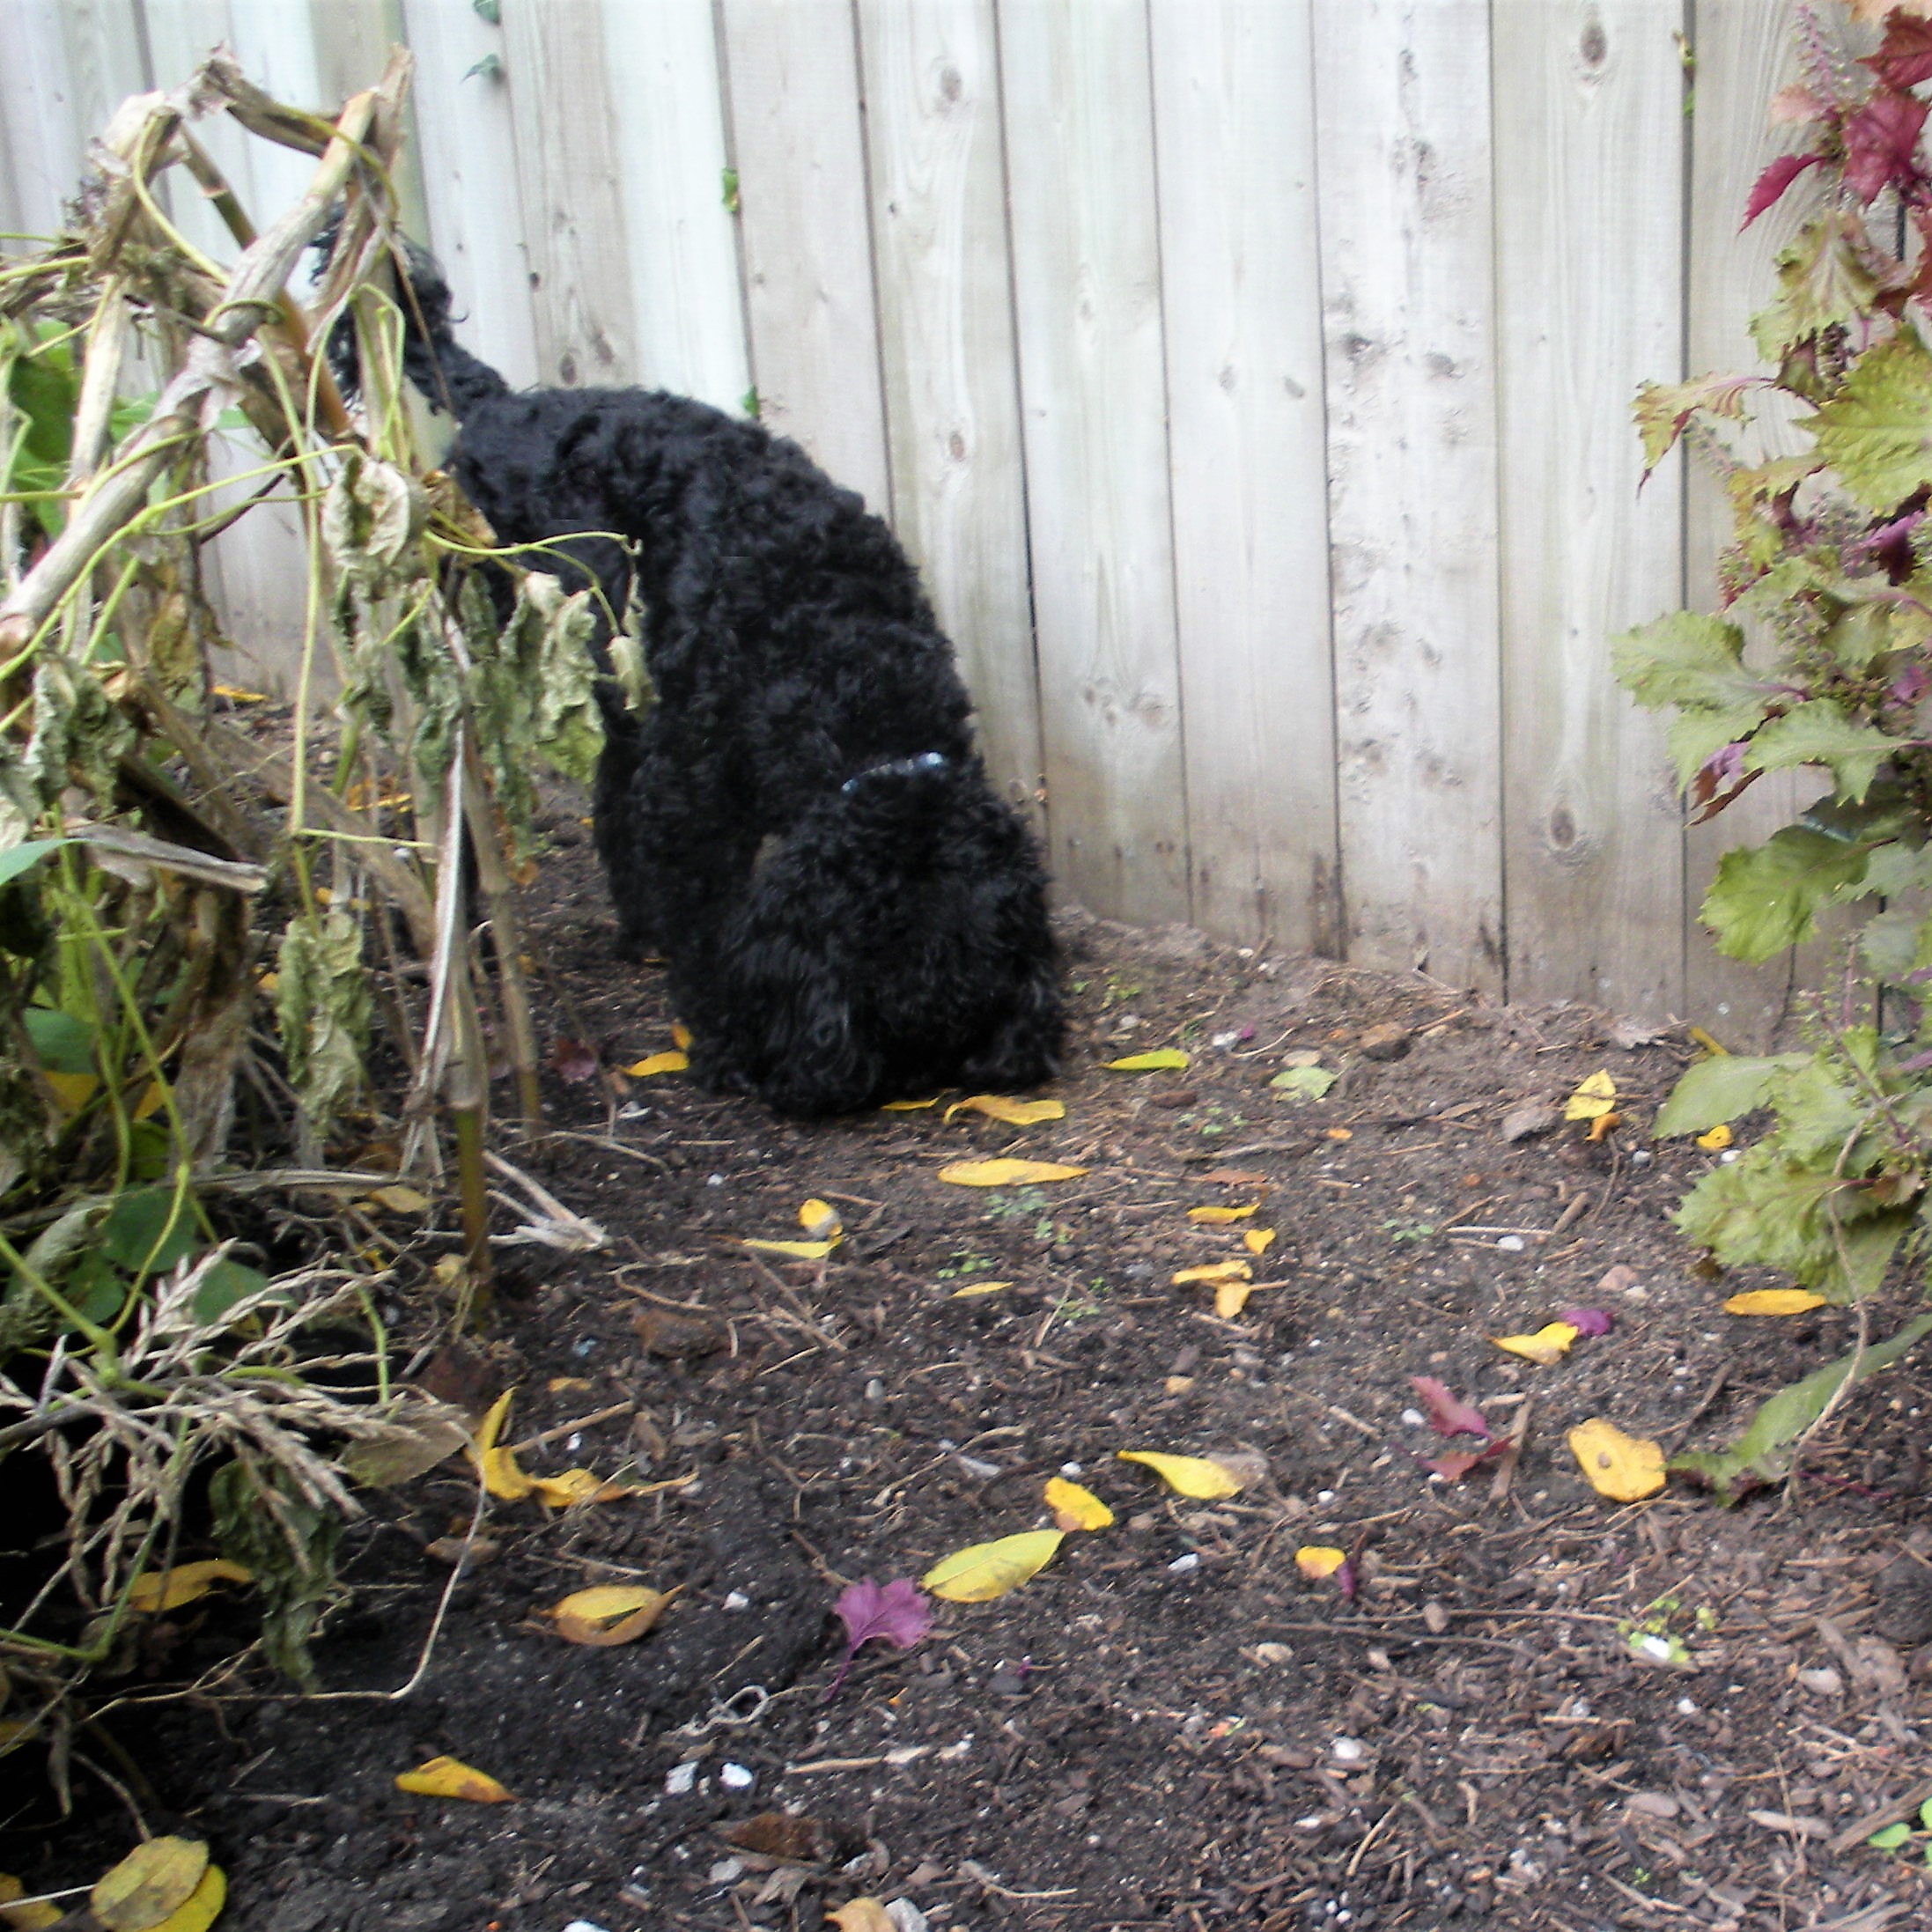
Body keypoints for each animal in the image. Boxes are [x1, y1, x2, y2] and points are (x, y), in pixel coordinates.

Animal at [328, 234, 1063, 1116]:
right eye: (887, 1022)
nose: (903, 1081)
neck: (833, 646)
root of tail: (498, 405)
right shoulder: (692, 800)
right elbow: (706, 928)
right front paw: (726, 1043)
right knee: (461, 807)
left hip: (618, 692)